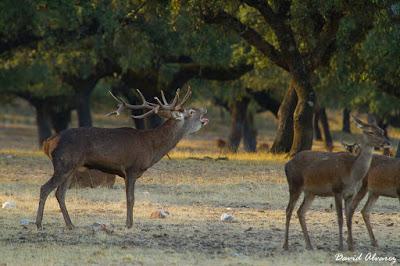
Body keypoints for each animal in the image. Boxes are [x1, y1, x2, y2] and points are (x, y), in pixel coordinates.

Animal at [35, 88, 209, 230]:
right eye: (191, 111)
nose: (205, 109)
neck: (151, 148)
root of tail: (48, 142)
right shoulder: (131, 168)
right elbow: (131, 198)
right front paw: (129, 224)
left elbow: (129, 197)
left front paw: (128, 223)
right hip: (63, 163)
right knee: (45, 188)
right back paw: (39, 224)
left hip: (71, 168)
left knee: (60, 193)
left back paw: (70, 224)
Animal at [282, 117, 390, 251]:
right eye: (370, 132)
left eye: (381, 130)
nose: (387, 142)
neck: (352, 174)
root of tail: (287, 165)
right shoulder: (337, 190)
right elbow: (340, 218)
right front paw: (341, 246)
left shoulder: (350, 194)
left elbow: (349, 218)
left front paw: (351, 246)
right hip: (294, 185)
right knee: (288, 210)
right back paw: (286, 245)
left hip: (310, 192)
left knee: (300, 211)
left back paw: (309, 245)